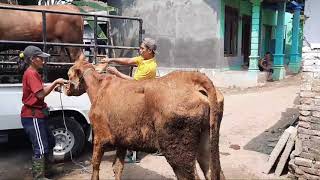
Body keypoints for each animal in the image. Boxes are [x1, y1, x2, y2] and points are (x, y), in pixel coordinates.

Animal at [65, 58, 225, 180]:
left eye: (68, 73)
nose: (65, 88)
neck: (97, 89)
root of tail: (193, 77)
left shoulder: (99, 135)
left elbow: (95, 166)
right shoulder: (122, 140)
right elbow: (117, 167)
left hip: (177, 148)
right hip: (207, 141)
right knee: (215, 172)